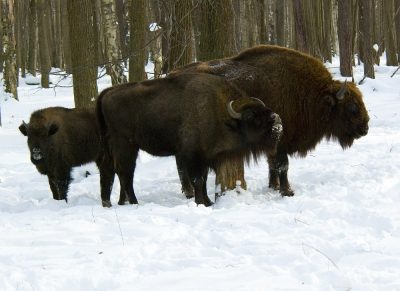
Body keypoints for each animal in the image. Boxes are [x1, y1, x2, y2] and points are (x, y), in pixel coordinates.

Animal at [97, 72, 282, 208]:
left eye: (265, 109)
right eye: (251, 116)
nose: (277, 124)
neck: (220, 113)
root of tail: (107, 93)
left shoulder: (205, 158)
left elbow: (204, 179)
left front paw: (208, 201)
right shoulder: (193, 156)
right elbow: (197, 180)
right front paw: (202, 203)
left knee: (112, 171)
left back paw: (115, 203)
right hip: (126, 145)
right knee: (125, 172)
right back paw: (134, 202)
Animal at [170, 44, 370, 198]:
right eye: (352, 107)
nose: (365, 128)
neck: (313, 94)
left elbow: (272, 165)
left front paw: (274, 186)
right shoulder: (280, 141)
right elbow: (283, 165)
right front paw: (287, 191)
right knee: (182, 163)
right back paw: (189, 193)